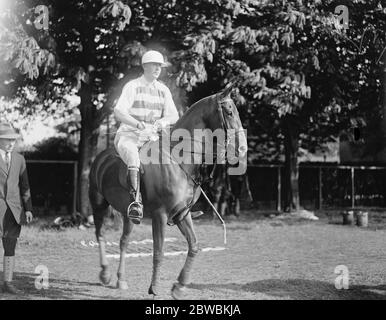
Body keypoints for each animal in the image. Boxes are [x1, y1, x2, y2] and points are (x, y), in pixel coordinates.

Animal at [88, 84, 246, 298]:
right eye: (229, 111)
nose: (243, 148)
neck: (181, 161)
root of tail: (101, 157)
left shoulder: (181, 214)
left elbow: (194, 246)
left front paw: (179, 286)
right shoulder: (160, 215)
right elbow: (158, 252)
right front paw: (154, 288)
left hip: (127, 213)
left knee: (123, 241)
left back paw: (121, 280)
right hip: (99, 204)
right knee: (100, 235)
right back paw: (105, 274)